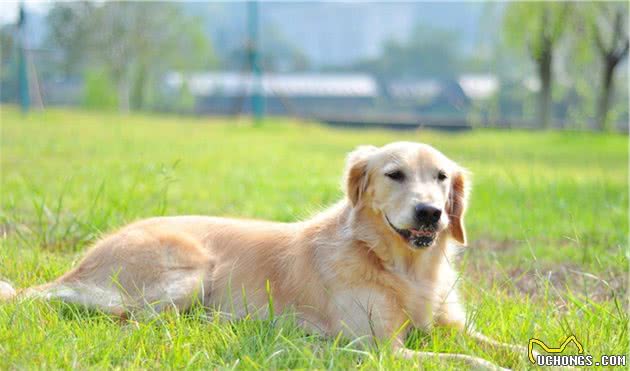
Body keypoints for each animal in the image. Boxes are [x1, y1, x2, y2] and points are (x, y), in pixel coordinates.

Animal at [1, 142, 528, 370]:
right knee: (134, 321)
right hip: (192, 267)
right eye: (394, 174)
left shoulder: (450, 325)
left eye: (441, 178)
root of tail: (78, 266)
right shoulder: (380, 348)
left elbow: (500, 346)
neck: (403, 267)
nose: (430, 213)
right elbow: (469, 360)